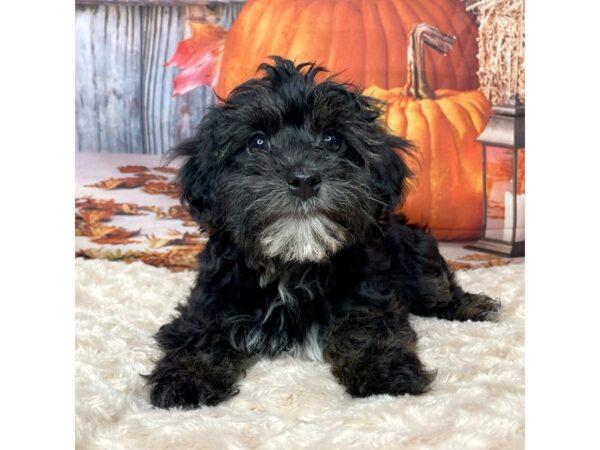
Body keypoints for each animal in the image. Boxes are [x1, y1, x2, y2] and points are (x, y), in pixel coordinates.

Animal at [146, 56, 502, 408]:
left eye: (332, 140)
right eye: (258, 142)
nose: (304, 179)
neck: (293, 264)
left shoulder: (369, 295)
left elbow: (368, 329)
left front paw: (385, 373)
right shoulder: (210, 301)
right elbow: (198, 335)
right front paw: (187, 378)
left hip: (416, 249)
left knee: (436, 287)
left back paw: (473, 306)